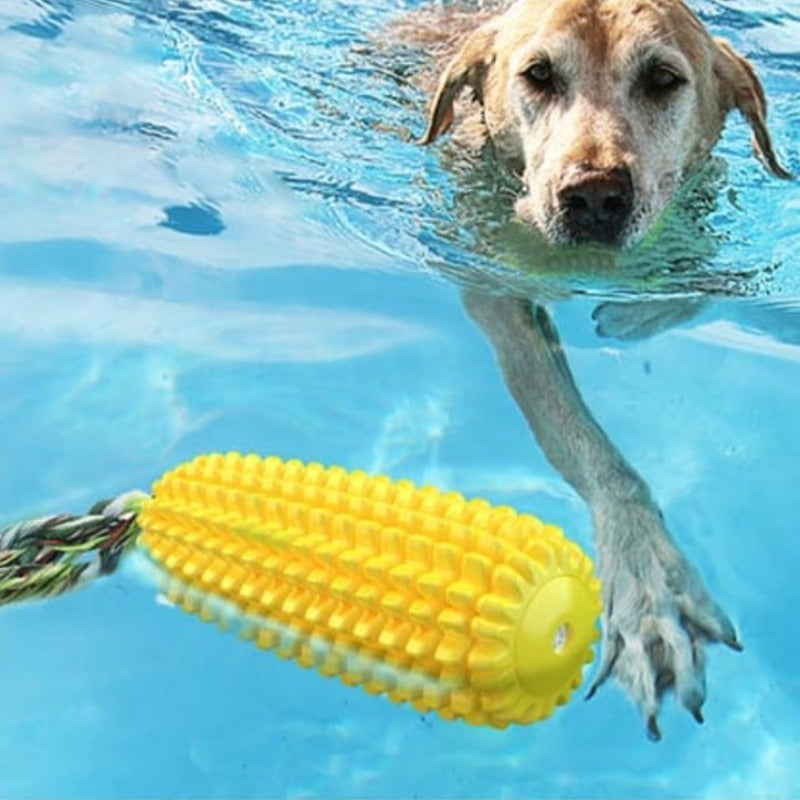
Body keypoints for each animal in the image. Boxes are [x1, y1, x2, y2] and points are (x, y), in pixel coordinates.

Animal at [396, 0, 792, 740]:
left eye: (663, 79)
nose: (594, 197)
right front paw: (645, 581)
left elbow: (701, 287)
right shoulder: (492, 284)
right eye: (538, 75)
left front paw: (632, 313)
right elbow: (586, 443)